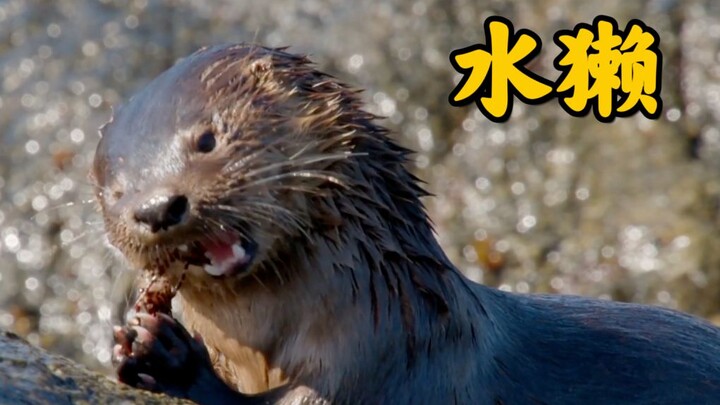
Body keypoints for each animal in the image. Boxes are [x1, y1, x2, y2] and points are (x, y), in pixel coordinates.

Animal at [93, 44, 720, 404]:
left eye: (206, 138)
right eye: (113, 190)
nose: (156, 207)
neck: (395, 319)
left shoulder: (377, 374)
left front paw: (165, 353)